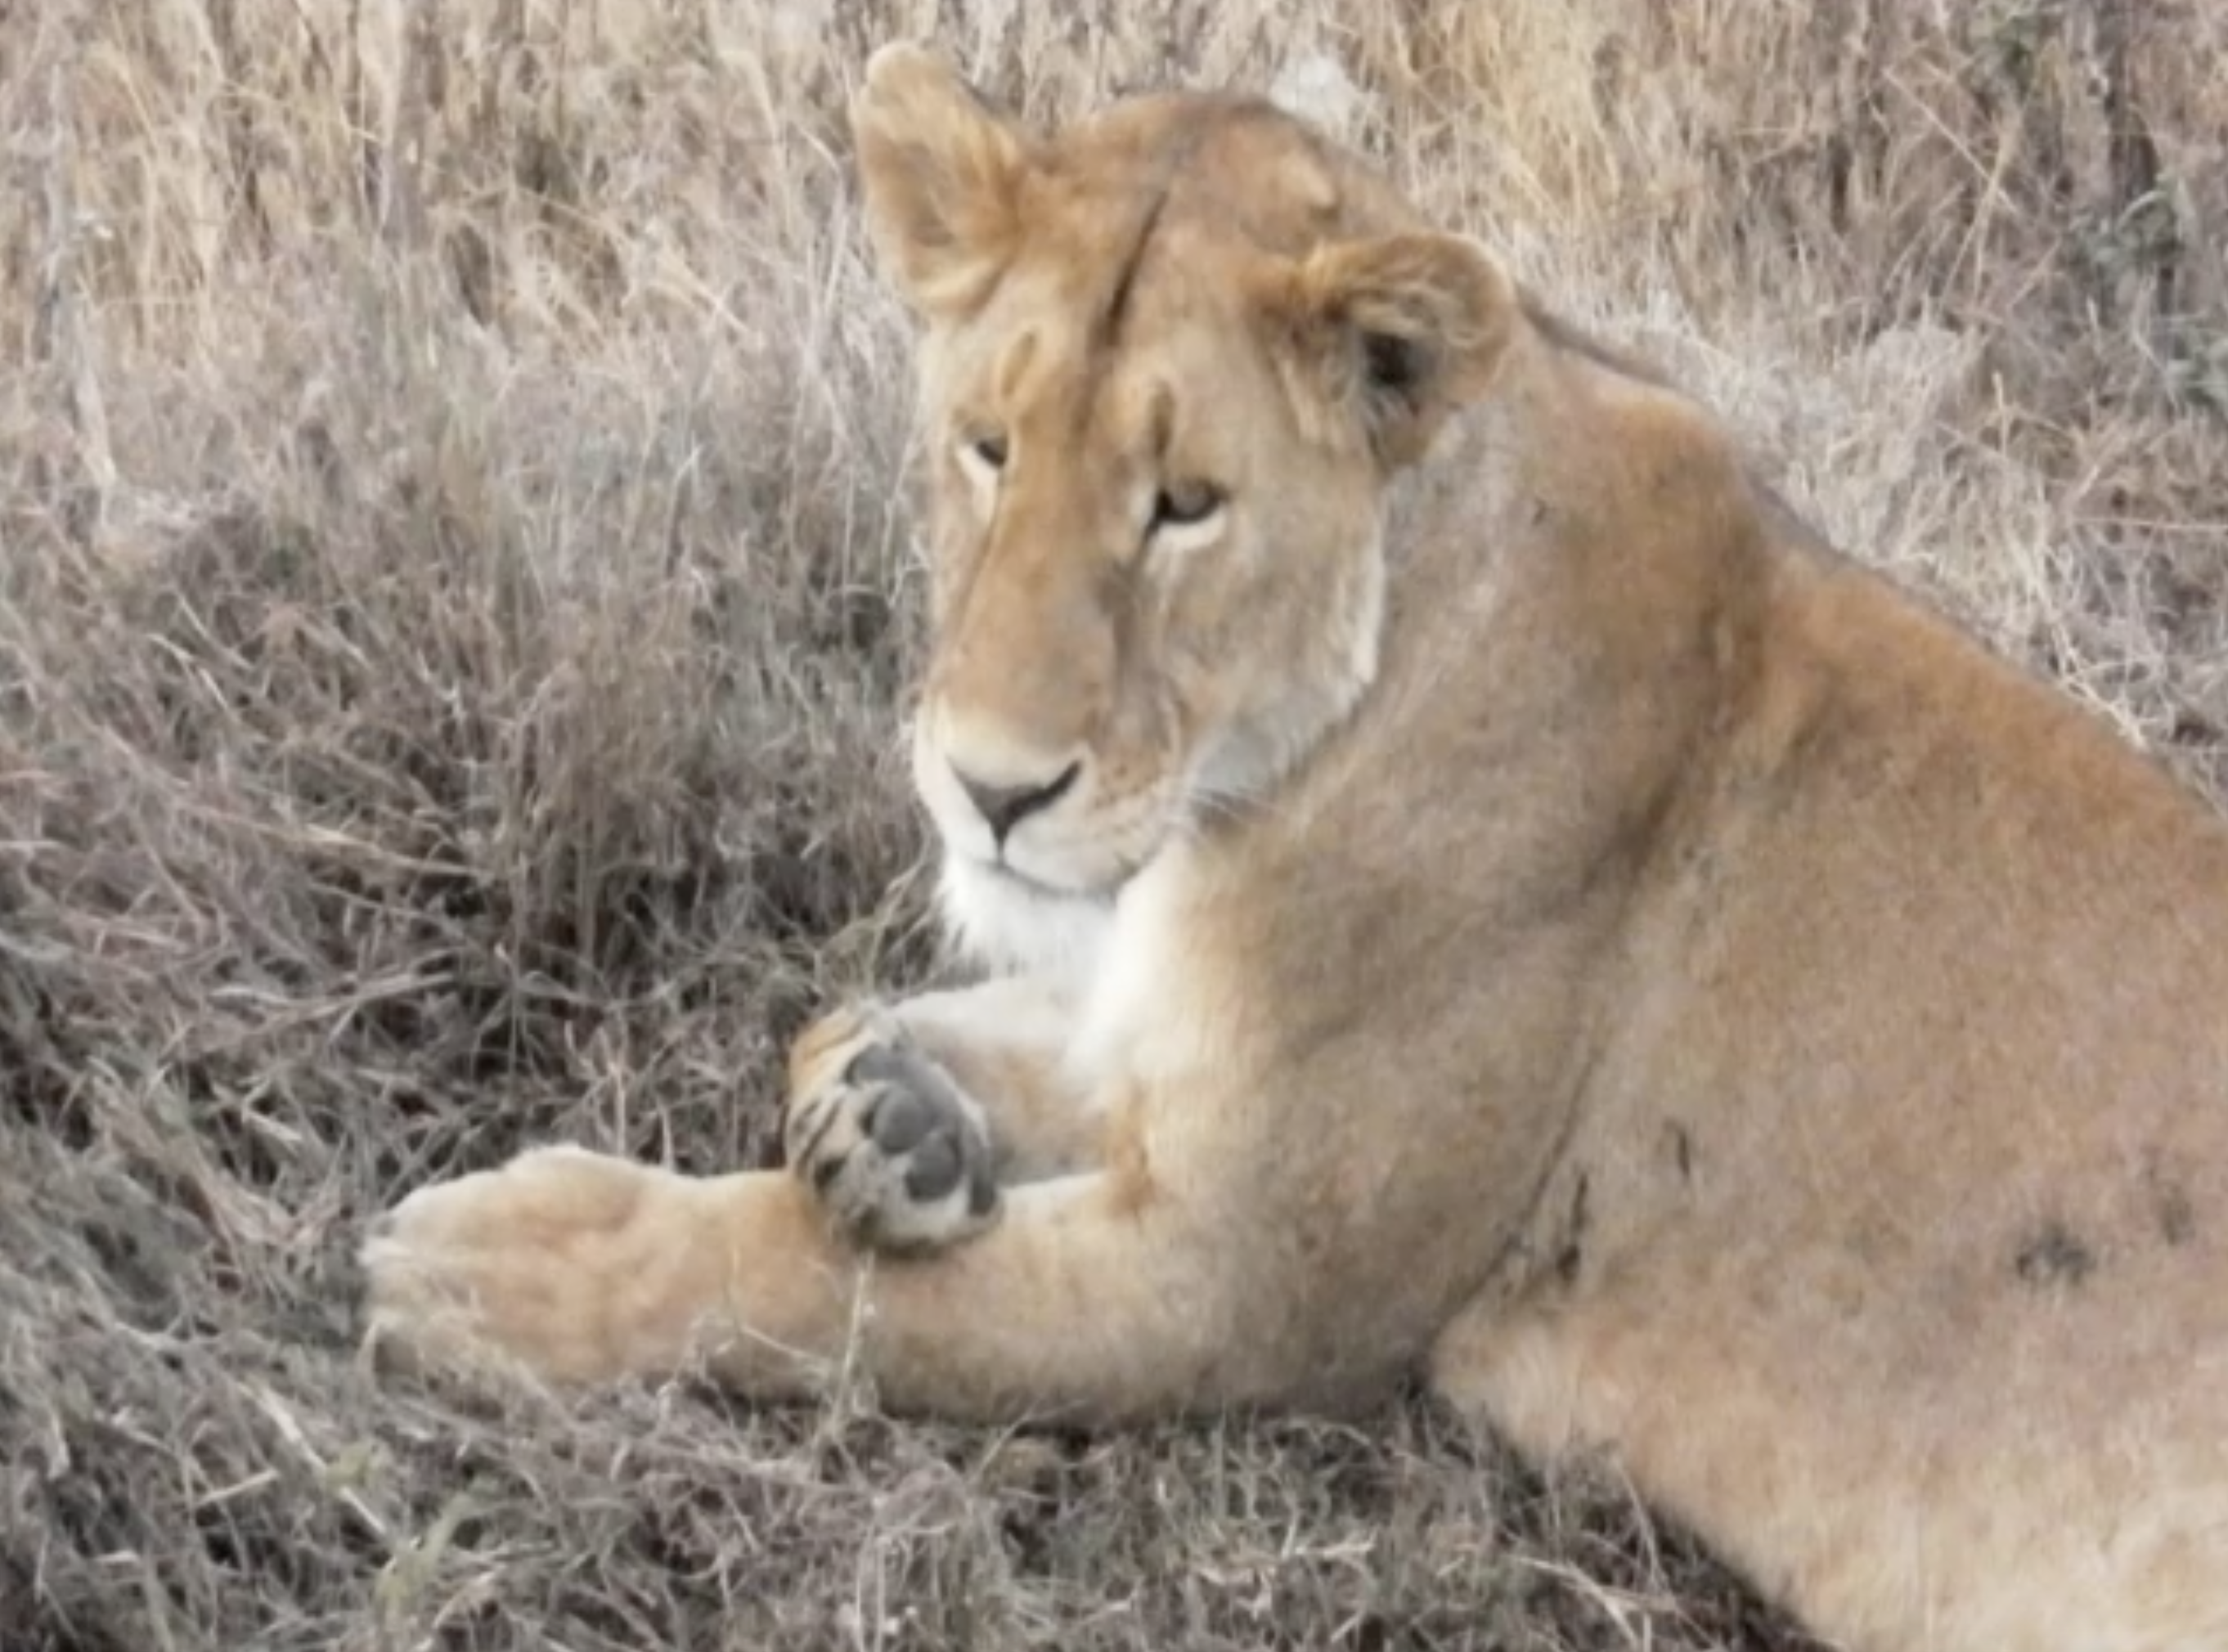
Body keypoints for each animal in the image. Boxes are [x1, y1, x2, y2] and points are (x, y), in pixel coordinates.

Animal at [359, 41, 2228, 1652]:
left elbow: (822, 1286)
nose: (989, 791)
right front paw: (891, 1114)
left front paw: (508, 1259)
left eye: (1185, 503)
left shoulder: (1246, 1283)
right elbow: (867, 1033)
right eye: (988, 445)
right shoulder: (1162, 1058)